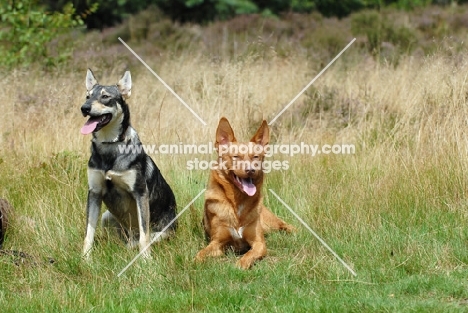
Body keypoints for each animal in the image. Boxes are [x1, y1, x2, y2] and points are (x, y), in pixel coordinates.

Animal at [197, 117, 292, 268]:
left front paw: (239, 265)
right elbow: (200, 254)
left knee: (286, 225)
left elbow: (249, 255)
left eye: (256, 157)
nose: (251, 170)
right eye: (236, 156)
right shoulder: (217, 243)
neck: (238, 201)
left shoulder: (259, 243)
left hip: (270, 223)